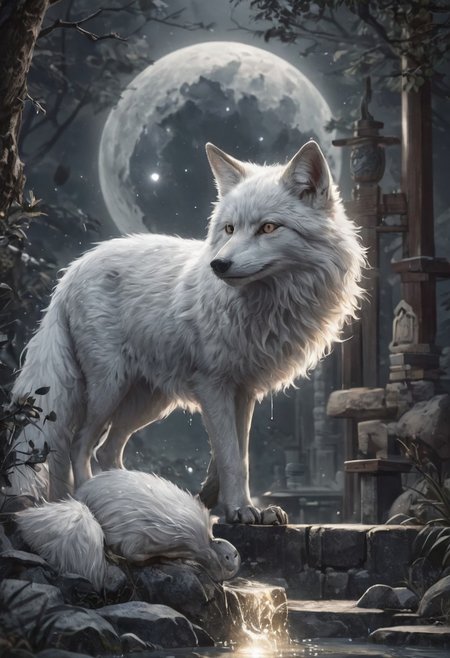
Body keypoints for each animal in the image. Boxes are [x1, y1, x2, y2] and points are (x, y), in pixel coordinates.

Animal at [8, 140, 365, 524]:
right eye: (229, 229)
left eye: (269, 228)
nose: (219, 264)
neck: (268, 304)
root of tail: (73, 269)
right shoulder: (214, 386)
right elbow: (230, 457)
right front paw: (240, 510)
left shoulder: (243, 392)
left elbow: (238, 456)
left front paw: (231, 504)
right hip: (109, 389)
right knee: (79, 443)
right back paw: (91, 499)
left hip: (147, 403)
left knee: (107, 450)